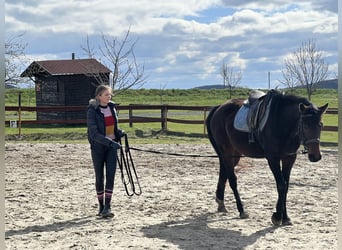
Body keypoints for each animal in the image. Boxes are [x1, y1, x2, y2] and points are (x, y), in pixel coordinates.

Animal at [206, 90, 328, 227]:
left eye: (320, 125)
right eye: (305, 125)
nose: (315, 156)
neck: (281, 121)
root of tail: (219, 107)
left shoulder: (289, 158)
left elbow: (286, 185)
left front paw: (285, 217)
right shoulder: (273, 159)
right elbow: (281, 185)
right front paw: (277, 217)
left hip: (233, 154)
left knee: (224, 173)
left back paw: (221, 202)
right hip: (227, 152)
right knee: (232, 179)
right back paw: (241, 210)